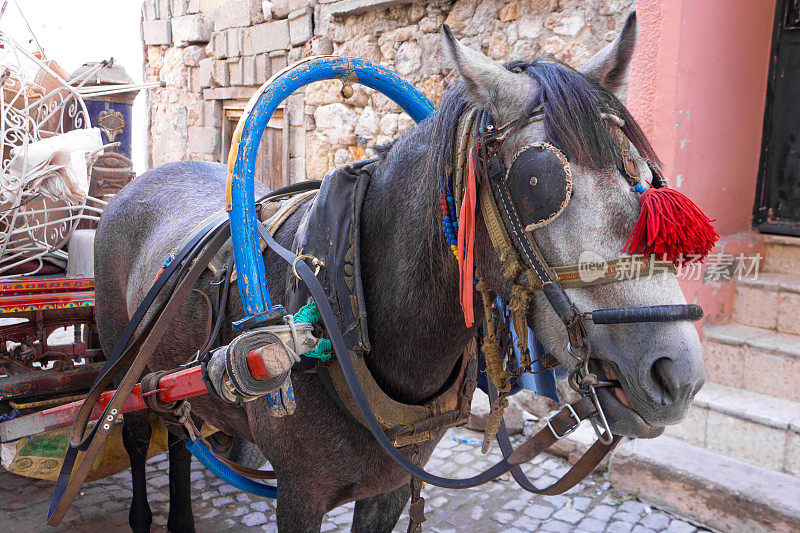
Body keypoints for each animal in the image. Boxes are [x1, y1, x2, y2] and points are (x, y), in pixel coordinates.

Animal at [95, 14, 708, 528]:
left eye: (642, 178)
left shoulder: (389, 486)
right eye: (538, 186)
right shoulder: (300, 494)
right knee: (131, 430)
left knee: (178, 429)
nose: (677, 374)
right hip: (119, 361)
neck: (345, 307)